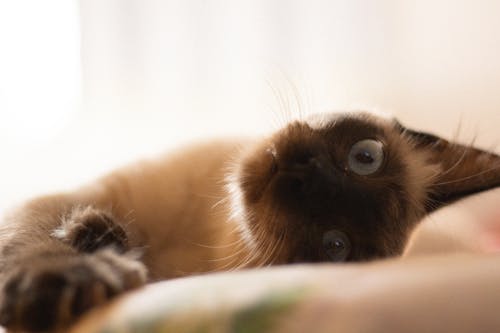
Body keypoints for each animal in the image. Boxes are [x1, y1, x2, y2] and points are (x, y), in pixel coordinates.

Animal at [0, 111, 500, 330]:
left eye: (334, 246)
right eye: (366, 158)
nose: (302, 179)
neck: (207, 234)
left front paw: (74, 277)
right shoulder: (77, 196)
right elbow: (41, 238)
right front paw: (81, 257)